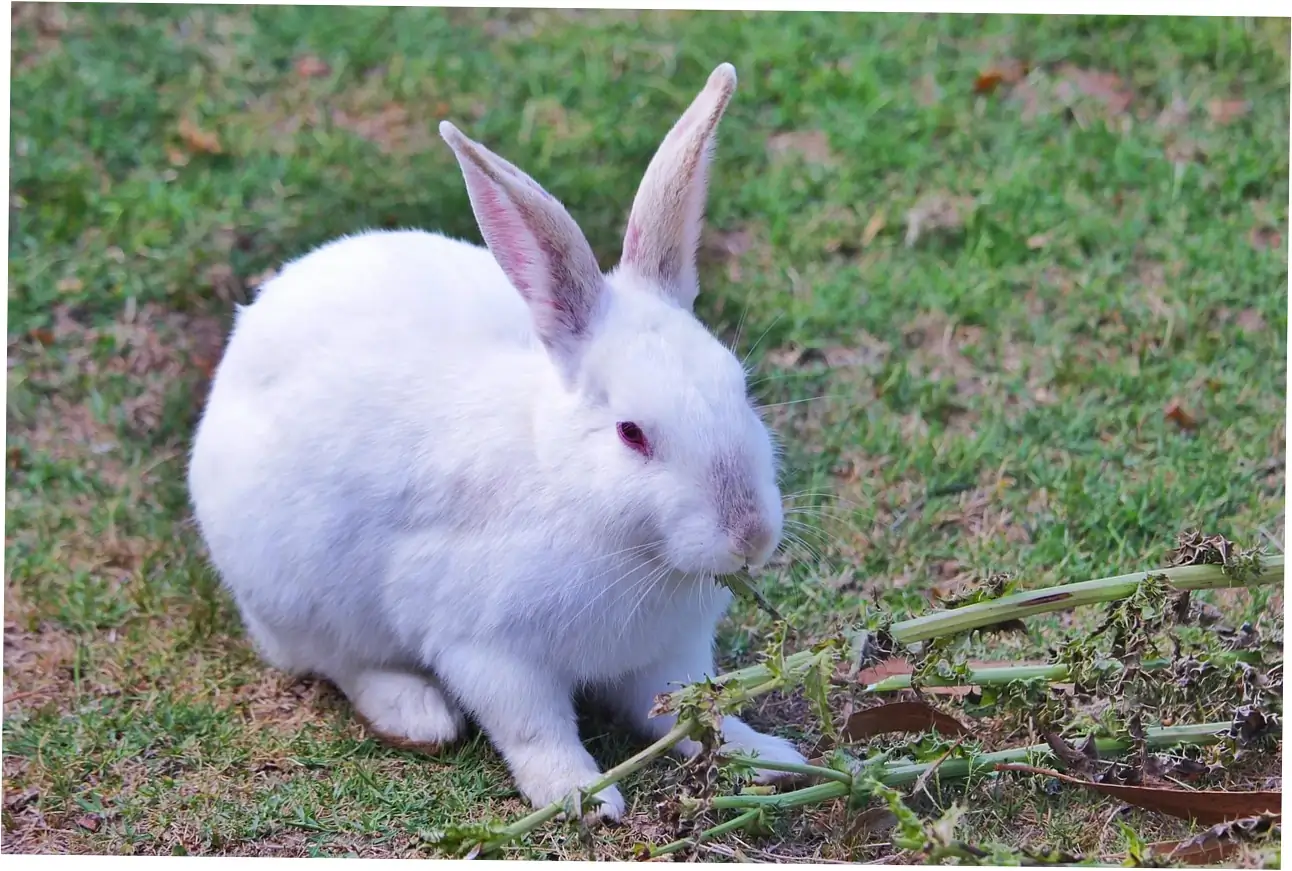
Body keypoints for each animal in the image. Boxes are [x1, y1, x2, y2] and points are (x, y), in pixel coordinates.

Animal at [187, 62, 805, 821]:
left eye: (740, 388)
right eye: (632, 433)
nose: (749, 534)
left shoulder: (669, 653)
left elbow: (691, 711)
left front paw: (768, 754)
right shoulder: (489, 650)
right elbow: (535, 728)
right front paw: (580, 795)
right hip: (297, 594)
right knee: (340, 662)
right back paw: (416, 712)